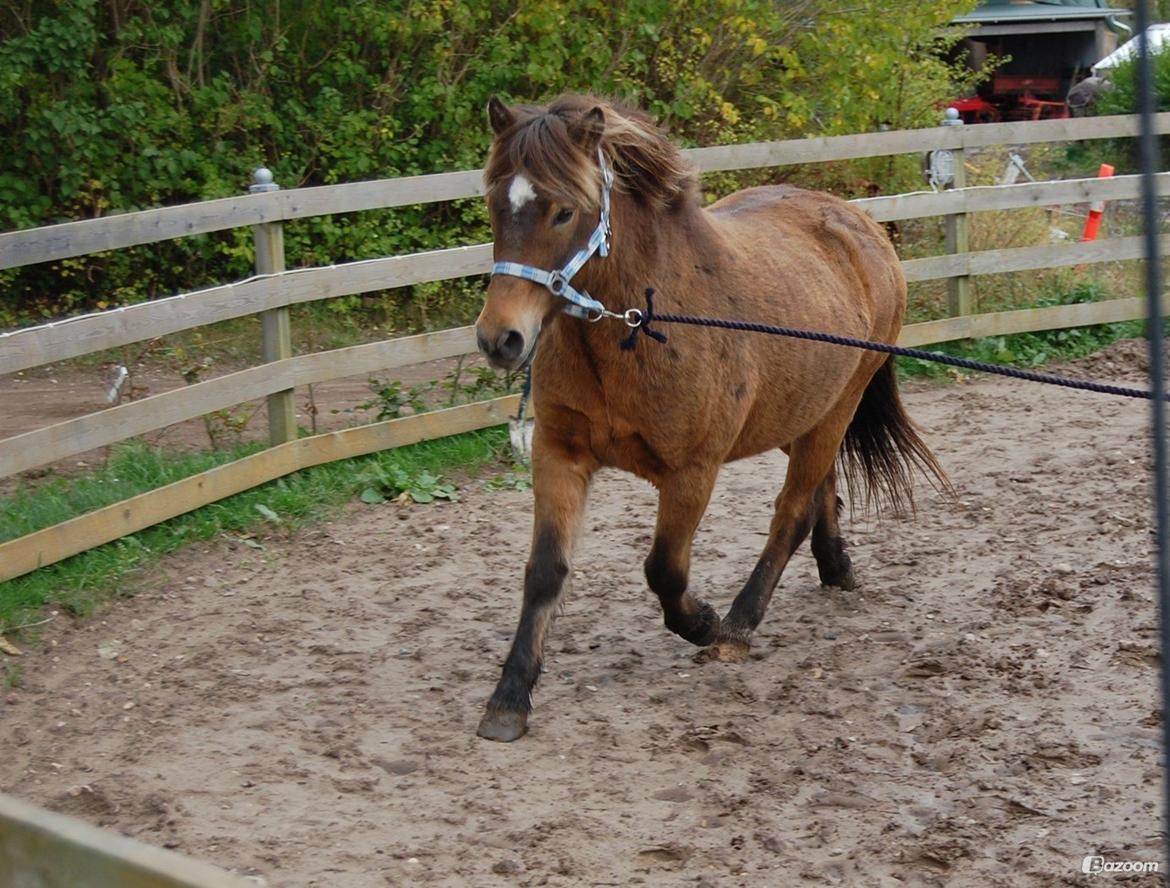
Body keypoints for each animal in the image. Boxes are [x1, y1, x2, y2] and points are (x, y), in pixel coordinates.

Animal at [470, 91, 945, 744]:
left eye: (564, 212)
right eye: (496, 204)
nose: (501, 339)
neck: (642, 324)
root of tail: (861, 224)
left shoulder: (692, 471)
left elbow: (665, 570)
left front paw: (704, 622)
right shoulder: (560, 454)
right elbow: (545, 571)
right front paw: (509, 698)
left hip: (836, 409)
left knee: (792, 512)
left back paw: (739, 625)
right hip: (804, 413)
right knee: (821, 491)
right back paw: (835, 566)